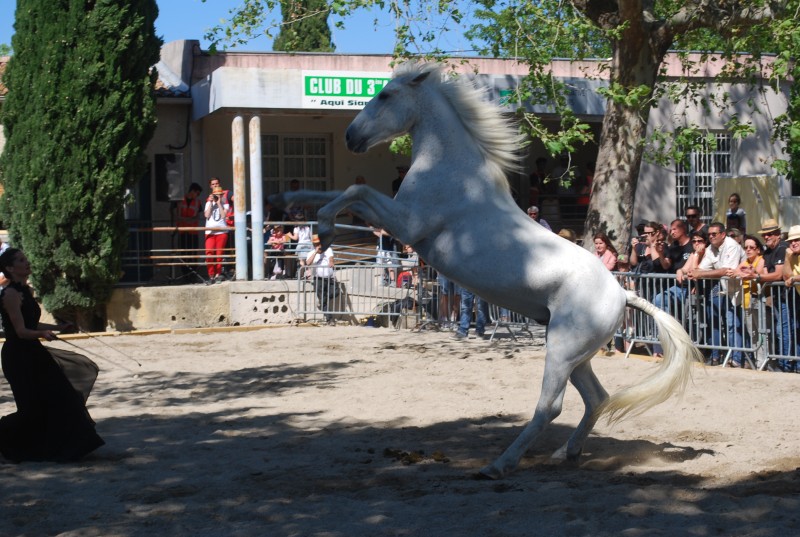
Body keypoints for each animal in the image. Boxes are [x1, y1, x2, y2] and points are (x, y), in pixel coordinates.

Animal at [272, 62, 704, 478]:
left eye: (386, 95)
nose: (351, 137)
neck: (451, 167)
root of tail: (623, 292)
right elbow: (341, 192)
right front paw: (290, 198)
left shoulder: (407, 224)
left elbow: (355, 191)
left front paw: (324, 228)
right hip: (576, 356)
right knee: (596, 398)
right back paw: (566, 453)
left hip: (562, 349)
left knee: (550, 406)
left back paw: (499, 465)